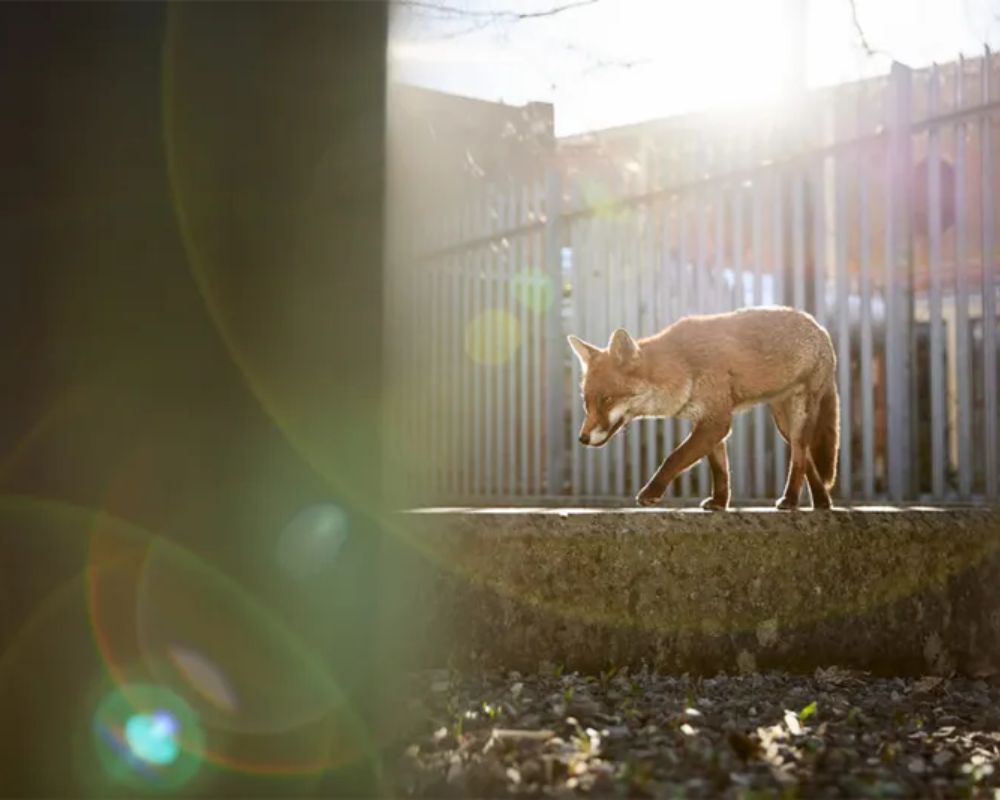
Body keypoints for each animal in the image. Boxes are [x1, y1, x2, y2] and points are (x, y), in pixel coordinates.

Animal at [568, 306, 840, 512]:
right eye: (586, 402)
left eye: (606, 399)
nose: (581, 439)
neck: (682, 366)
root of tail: (819, 327)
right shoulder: (708, 422)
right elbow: (720, 470)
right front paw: (720, 503)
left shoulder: (716, 422)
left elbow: (674, 457)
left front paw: (651, 492)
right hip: (784, 425)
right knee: (806, 458)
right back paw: (822, 502)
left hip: (798, 418)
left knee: (800, 458)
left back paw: (791, 500)